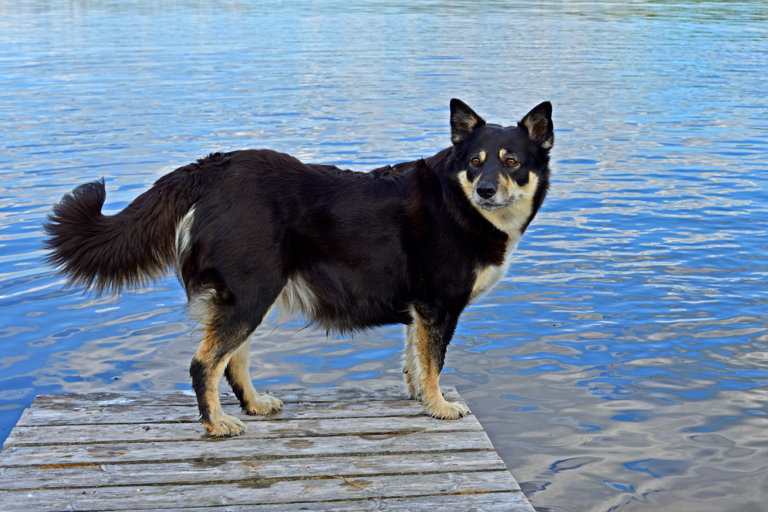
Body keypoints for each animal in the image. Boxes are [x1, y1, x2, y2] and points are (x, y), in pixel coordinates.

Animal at [43, 100, 552, 436]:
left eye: (511, 161)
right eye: (475, 162)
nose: (486, 190)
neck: (458, 202)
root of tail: (210, 169)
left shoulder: (420, 310)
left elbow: (415, 360)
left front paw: (420, 398)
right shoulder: (438, 306)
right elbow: (433, 363)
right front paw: (441, 406)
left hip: (252, 295)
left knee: (233, 361)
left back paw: (252, 405)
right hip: (251, 293)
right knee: (205, 363)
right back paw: (217, 424)